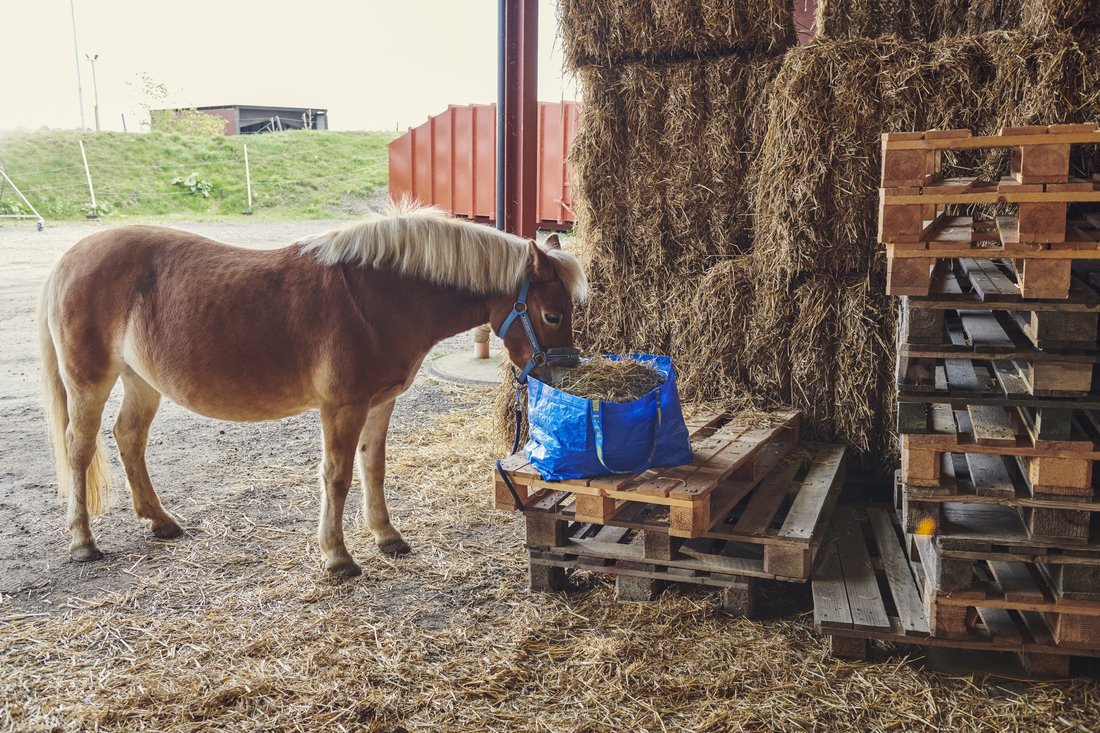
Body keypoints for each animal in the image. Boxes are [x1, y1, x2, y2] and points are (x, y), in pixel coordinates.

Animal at [37, 204, 588, 576]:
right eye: (552, 314)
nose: (562, 377)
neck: (379, 298)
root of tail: (68, 259)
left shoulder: (380, 403)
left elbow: (372, 468)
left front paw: (387, 536)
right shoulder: (342, 408)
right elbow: (337, 476)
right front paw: (338, 556)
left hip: (141, 381)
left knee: (128, 438)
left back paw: (159, 521)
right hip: (89, 381)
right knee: (79, 448)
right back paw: (83, 541)